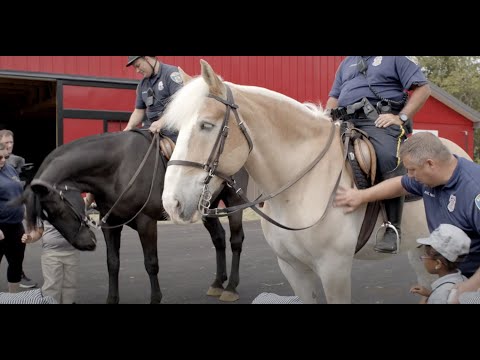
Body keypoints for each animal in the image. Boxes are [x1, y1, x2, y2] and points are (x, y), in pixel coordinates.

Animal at [21, 129, 249, 304]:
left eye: (59, 211)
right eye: (47, 219)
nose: (86, 244)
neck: (118, 168)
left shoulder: (146, 222)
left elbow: (151, 263)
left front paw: (155, 299)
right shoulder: (110, 224)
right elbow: (112, 262)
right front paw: (112, 299)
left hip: (234, 202)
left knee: (236, 240)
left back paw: (231, 287)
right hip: (206, 208)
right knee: (218, 238)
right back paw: (218, 283)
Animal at [160, 59, 468, 304]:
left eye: (206, 125)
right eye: (177, 128)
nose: (171, 203)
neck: (300, 186)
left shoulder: (335, 270)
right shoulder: (293, 268)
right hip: (419, 251)